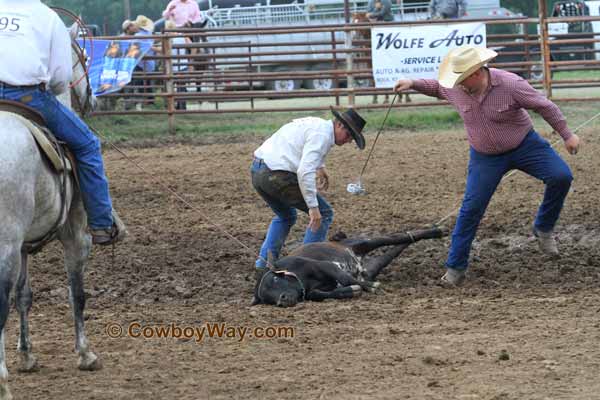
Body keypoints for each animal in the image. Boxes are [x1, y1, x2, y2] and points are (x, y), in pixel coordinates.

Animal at [0, 25, 100, 400]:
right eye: (82, 57)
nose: (92, 99)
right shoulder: (75, 233)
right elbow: (77, 292)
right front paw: (85, 354)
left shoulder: (23, 247)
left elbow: (23, 295)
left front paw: (27, 355)